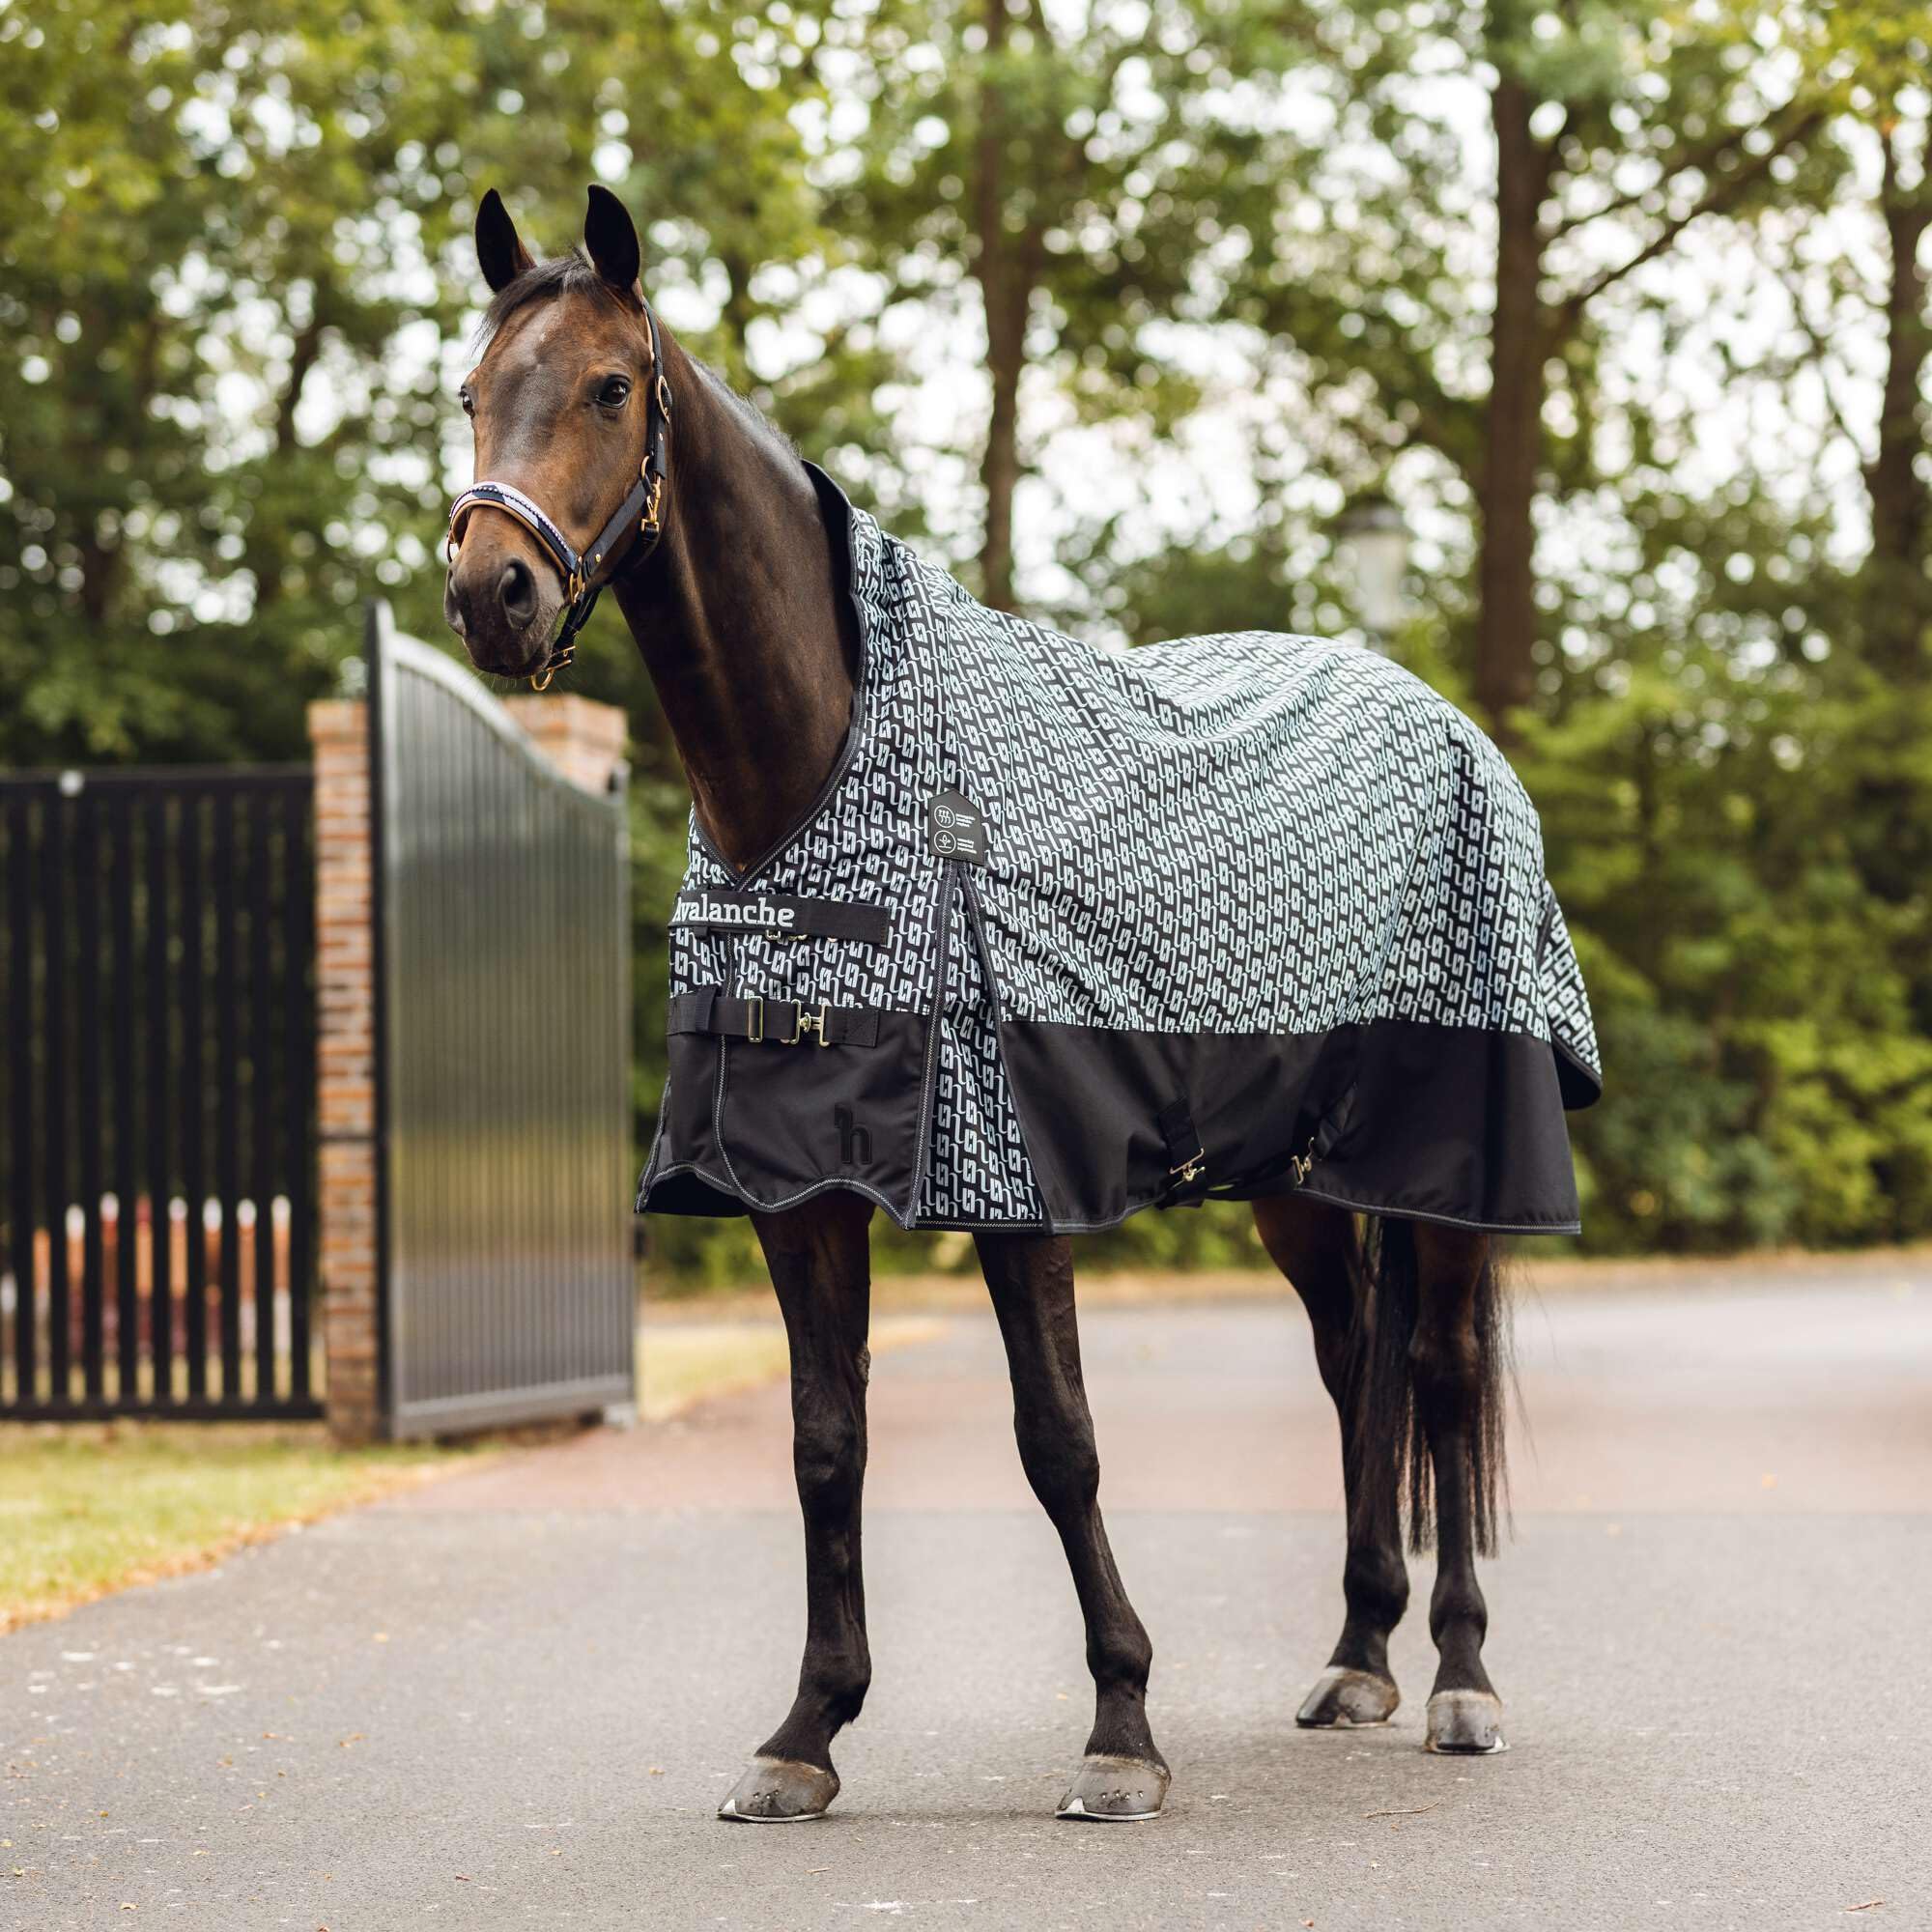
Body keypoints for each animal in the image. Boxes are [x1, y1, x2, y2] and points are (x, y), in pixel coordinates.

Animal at [443, 183, 1596, 1823]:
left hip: (1451, 1156)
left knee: (1435, 1370)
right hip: (1300, 1178)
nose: (494, 593)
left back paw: (1459, 1681)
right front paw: (806, 1734)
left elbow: (1060, 1442)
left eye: (609, 386)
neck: (822, 775)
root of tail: (1445, 718)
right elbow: (825, 1444)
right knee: (1354, 1368)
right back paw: (1358, 1657)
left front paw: (1120, 1729)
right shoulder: (793, 1185)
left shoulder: (1011, 1174)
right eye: (474, 394)